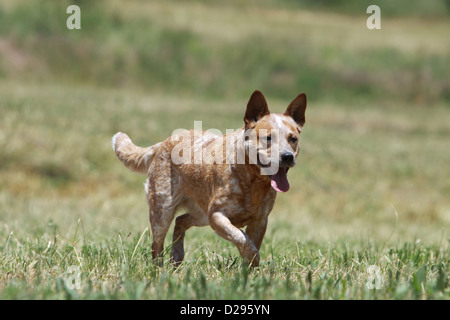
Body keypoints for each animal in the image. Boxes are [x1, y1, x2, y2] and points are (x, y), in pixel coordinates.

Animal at [112, 90, 306, 268]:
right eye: (268, 138)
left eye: (293, 139)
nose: (287, 156)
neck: (253, 182)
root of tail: (164, 141)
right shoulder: (216, 216)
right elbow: (242, 239)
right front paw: (252, 260)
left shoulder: (260, 221)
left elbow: (250, 243)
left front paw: (249, 273)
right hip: (163, 211)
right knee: (157, 245)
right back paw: (158, 269)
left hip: (201, 214)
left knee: (180, 221)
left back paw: (176, 256)